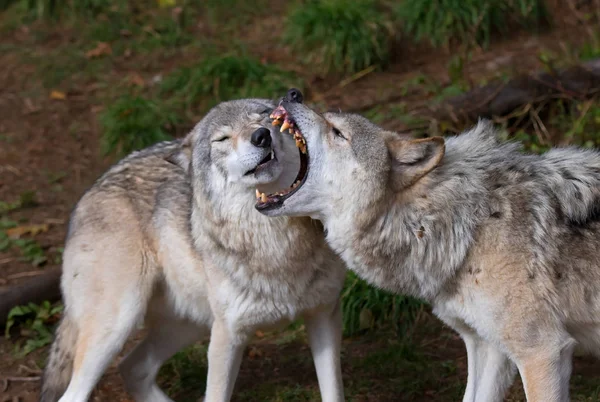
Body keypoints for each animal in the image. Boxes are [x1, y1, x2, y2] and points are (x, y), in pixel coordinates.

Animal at [38, 96, 346, 402]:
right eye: (222, 139)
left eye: (265, 116)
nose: (261, 136)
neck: (277, 241)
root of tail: (88, 194)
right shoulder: (227, 336)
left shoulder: (324, 317)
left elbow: (334, 393)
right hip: (118, 324)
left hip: (190, 324)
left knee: (132, 368)